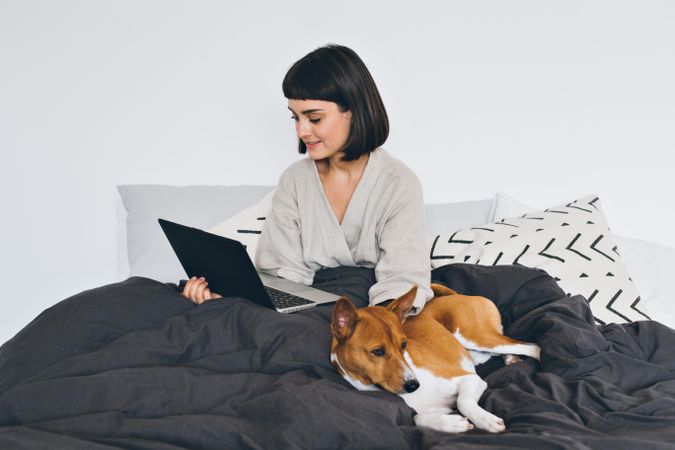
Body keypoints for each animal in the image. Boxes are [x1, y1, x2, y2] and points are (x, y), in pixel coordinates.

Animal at [330, 284, 540, 434]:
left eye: (403, 345)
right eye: (378, 351)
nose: (414, 385)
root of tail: (455, 295)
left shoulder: (469, 379)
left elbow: (463, 402)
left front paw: (484, 419)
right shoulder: (439, 408)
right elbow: (417, 418)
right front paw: (451, 424)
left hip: (478, 337)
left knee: (532, 347)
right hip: (477, 352)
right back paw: (511, 358)